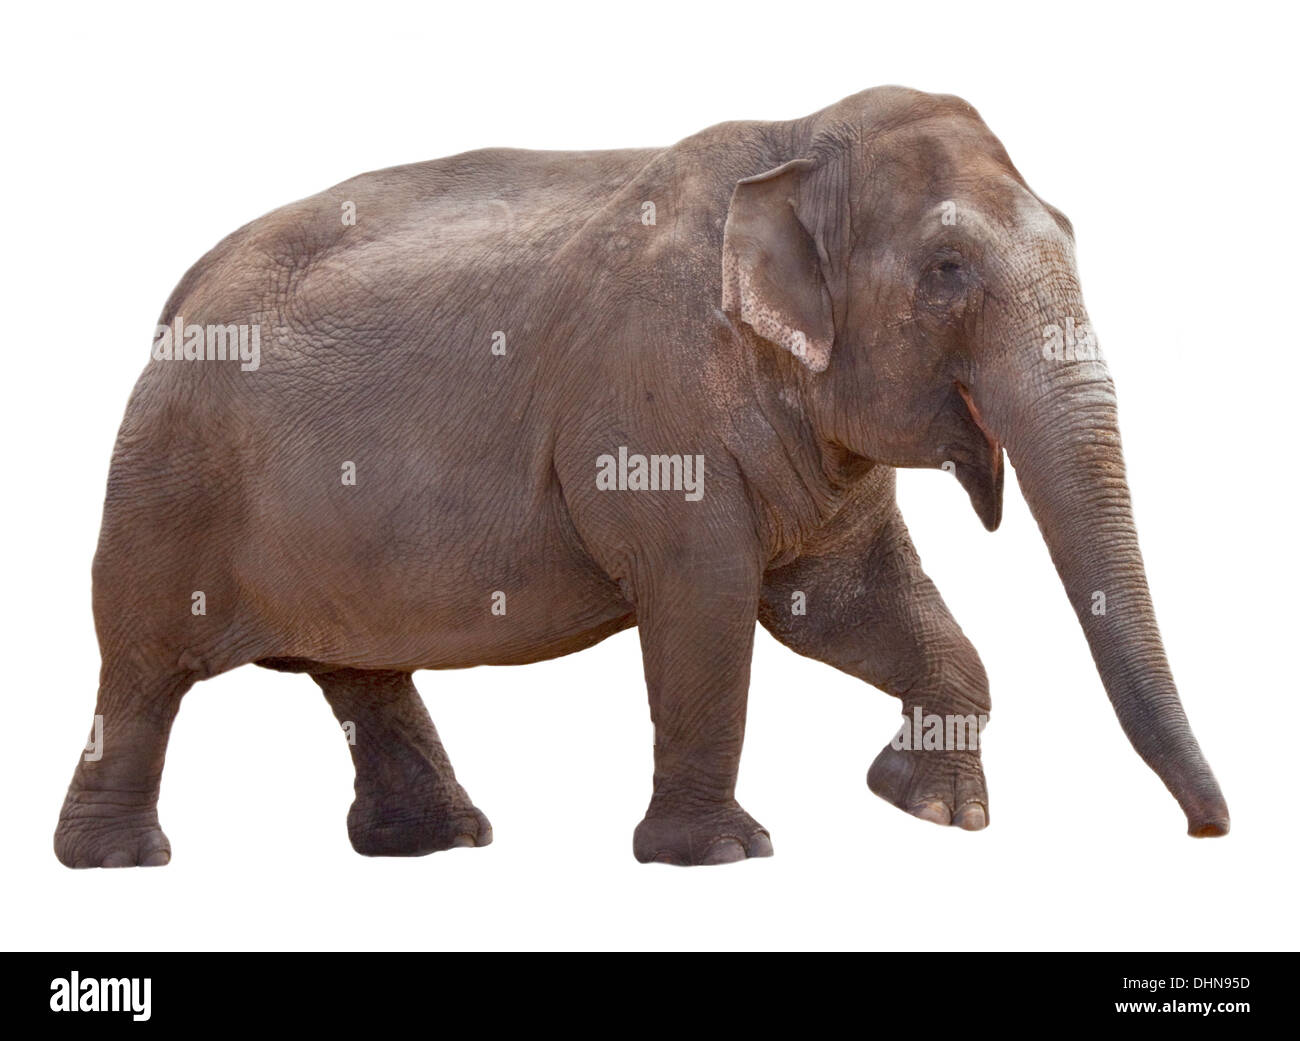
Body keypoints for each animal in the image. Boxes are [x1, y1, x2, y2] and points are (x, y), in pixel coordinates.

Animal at [50, 87, 1227, 868]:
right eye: (947, 270)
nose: (1206, 830)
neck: (796, 143)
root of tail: (180, 294)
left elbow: (848, 603)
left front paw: (928, 811)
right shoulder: (652, 401)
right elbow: (705, 606)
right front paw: (722, 855)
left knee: (360, 670)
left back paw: (440, 843)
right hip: (167, 481)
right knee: (143, 666)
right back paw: (118, 861)